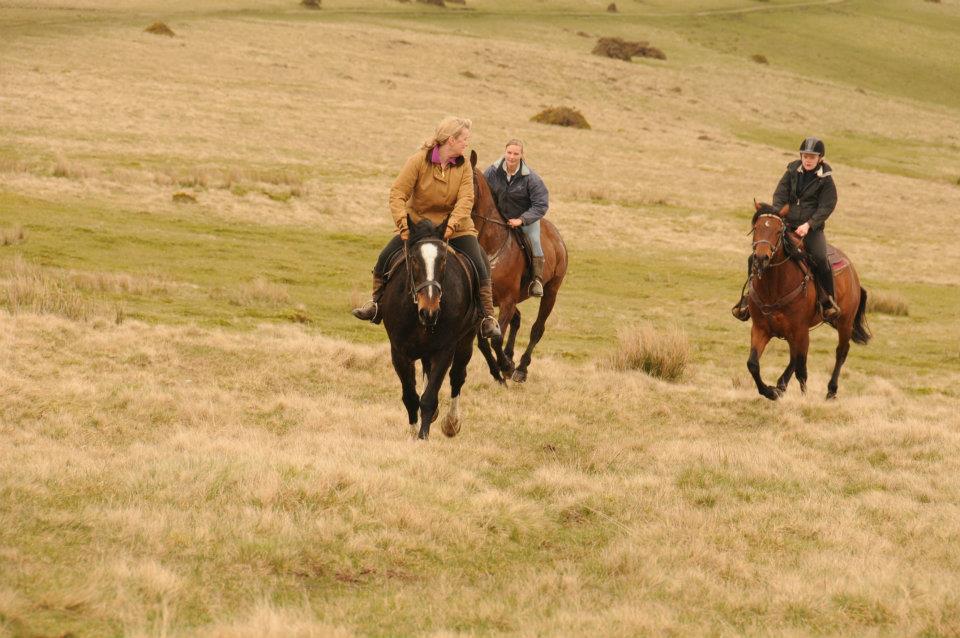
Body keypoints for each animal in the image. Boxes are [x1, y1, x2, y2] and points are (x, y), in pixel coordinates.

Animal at [376, 215, 478, 440]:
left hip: (466, 340)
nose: (429, 312)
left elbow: (429, 397)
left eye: (443, 261)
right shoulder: (399, 352)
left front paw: (423, 437)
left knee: (457, 377)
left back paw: (451, 423)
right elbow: (410, 397)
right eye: (414, 259)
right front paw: (413, 433)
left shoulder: (444, 350)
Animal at [466, 154, 568, 384]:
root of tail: (557, 237)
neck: (490, 245)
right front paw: (500, 369)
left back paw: (520, 368)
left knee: (537, 329)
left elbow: (495, 339)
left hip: (550, 293)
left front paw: (505, 367)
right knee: (518, 320)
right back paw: (510, 358)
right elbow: (483, 342)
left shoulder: (507, 301)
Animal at [748, 202, 872, 402]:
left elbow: (801, 370)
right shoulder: (760, 328)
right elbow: (753, 364)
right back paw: (780, 385)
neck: (774, 288)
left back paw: (831, 390)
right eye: (756, 228)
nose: (761, 258)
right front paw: (770, 391)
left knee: (841, 352)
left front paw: (802, 397)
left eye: (778, 231)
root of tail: (853, 272)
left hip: (844, 323)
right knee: (794, 358)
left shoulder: (800, 329)